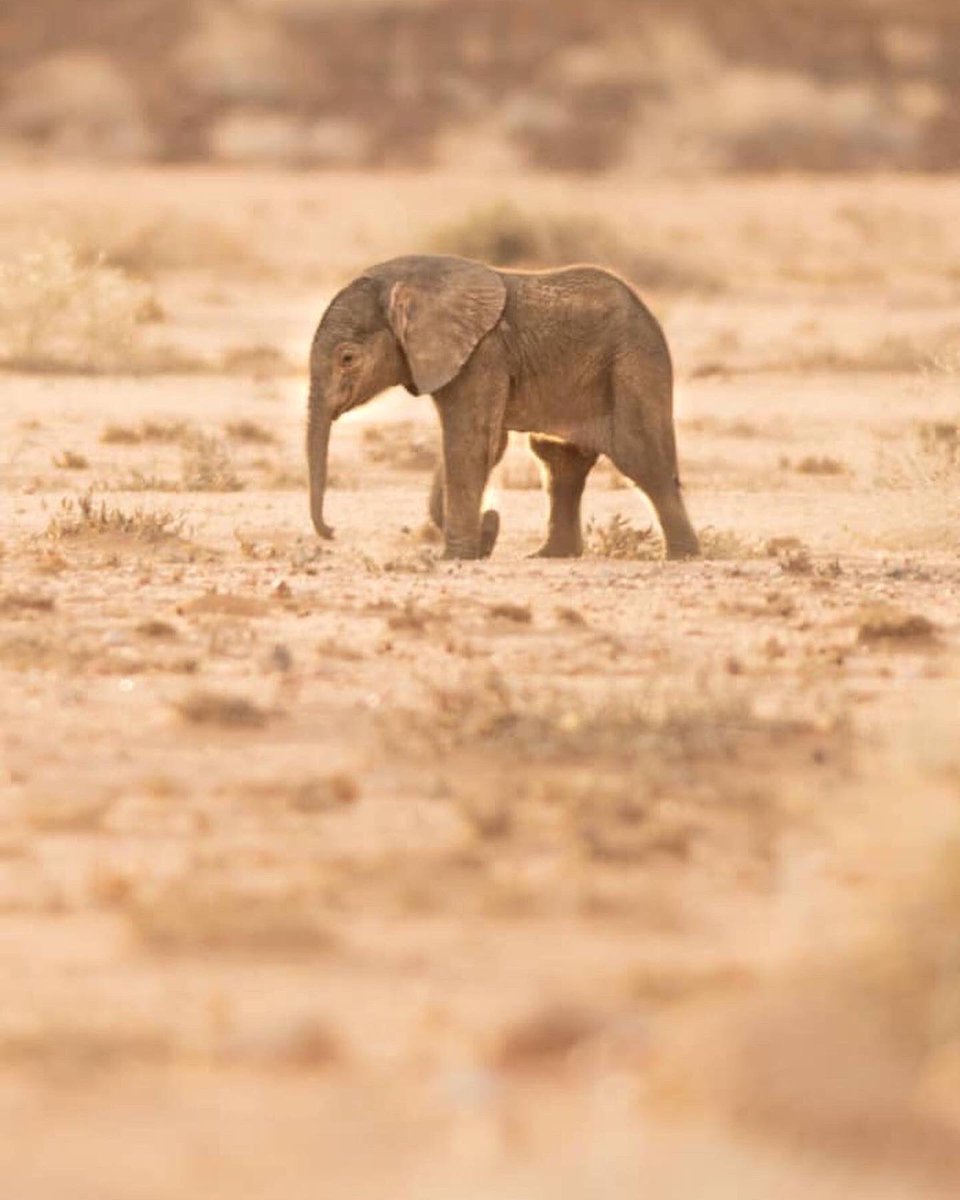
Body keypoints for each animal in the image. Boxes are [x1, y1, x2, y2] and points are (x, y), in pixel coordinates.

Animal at [306, 254, 700, 560]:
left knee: (640, 457)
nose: (333, 530)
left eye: (347, 358)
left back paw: (681, 556)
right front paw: (480, 538)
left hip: (633, 363)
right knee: (558, 461)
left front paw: (457, 557)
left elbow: (470, 444)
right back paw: (551, 556)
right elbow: (488, 445)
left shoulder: (483, 354)